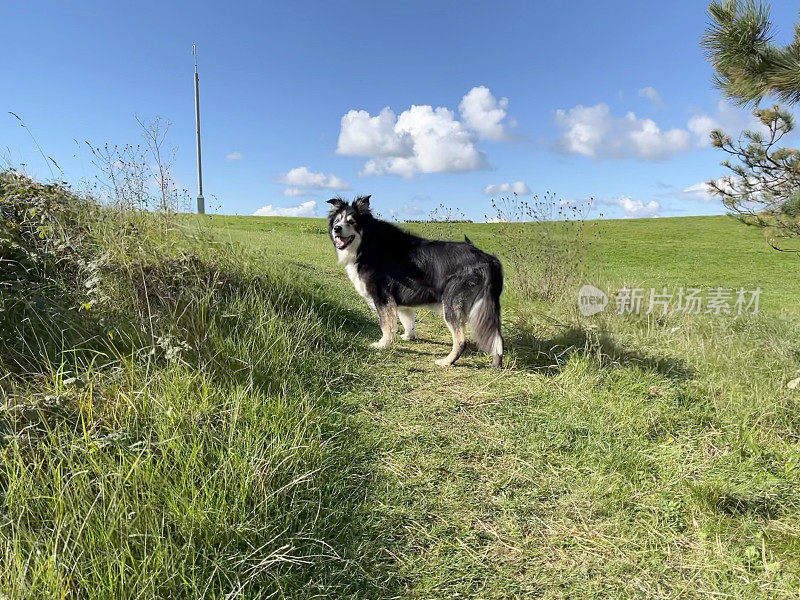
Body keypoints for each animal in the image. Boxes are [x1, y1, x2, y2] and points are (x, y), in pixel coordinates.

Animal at [328, 195, 504, 368]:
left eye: (351, 222)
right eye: (337, 220)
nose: (337, 228)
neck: (367, 243)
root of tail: (488, 259)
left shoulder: (383, 298)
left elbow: (386, 325)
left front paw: (383, 344)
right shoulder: (399, 300)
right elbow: (407, 320)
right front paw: (408, 336)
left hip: (451, 304)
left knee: (461, 340)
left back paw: (447, 361)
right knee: (496, 338)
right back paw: (496, 362)